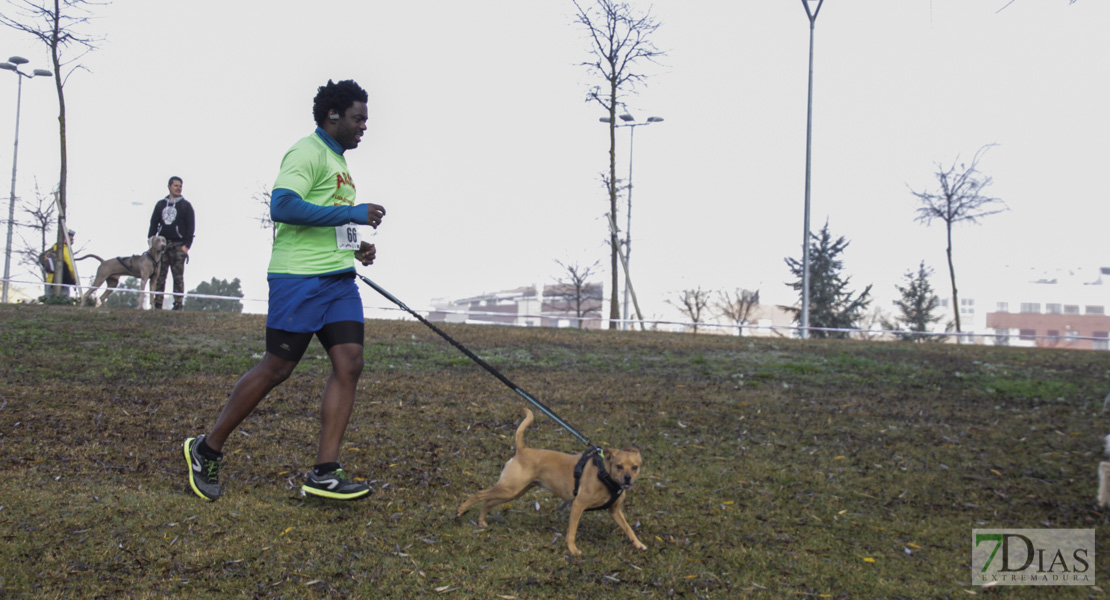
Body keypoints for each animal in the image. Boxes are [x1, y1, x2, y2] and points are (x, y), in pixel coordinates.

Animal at [452, 408, 643, 556]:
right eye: (619, 466)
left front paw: (638, 544)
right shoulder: (578, 505)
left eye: (635, 467)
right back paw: (461, 509)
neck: (605, 475)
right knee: (480, 494)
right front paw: (572, 550)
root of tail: (522, 449)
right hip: (509, 489)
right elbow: (572, 532)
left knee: (489, 502)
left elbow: (629, 529)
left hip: (513, 492)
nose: (628, 478)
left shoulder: (615, 511)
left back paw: (481, 521)